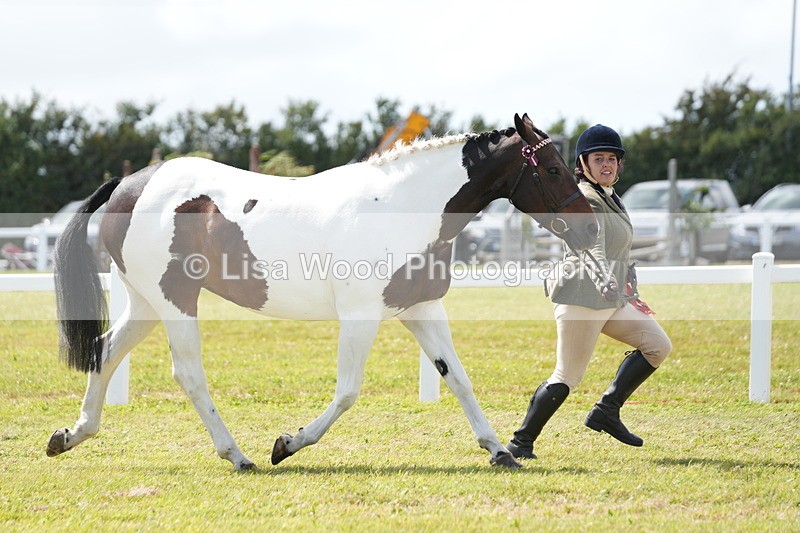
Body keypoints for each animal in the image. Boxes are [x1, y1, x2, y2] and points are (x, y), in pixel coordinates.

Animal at [46, 113, 598, 470]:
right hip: (175, 302)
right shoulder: (361, 316)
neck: (399, 206)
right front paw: (287, 444)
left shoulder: (420, 309)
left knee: (104, 351)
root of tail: (129, 185)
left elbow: (458, 379)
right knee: (188, 375)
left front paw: (500, 451)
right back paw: (239, 456)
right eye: (552, 169)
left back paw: (70, 435)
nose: (592, 228)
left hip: (146, 303)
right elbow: (348, 391)